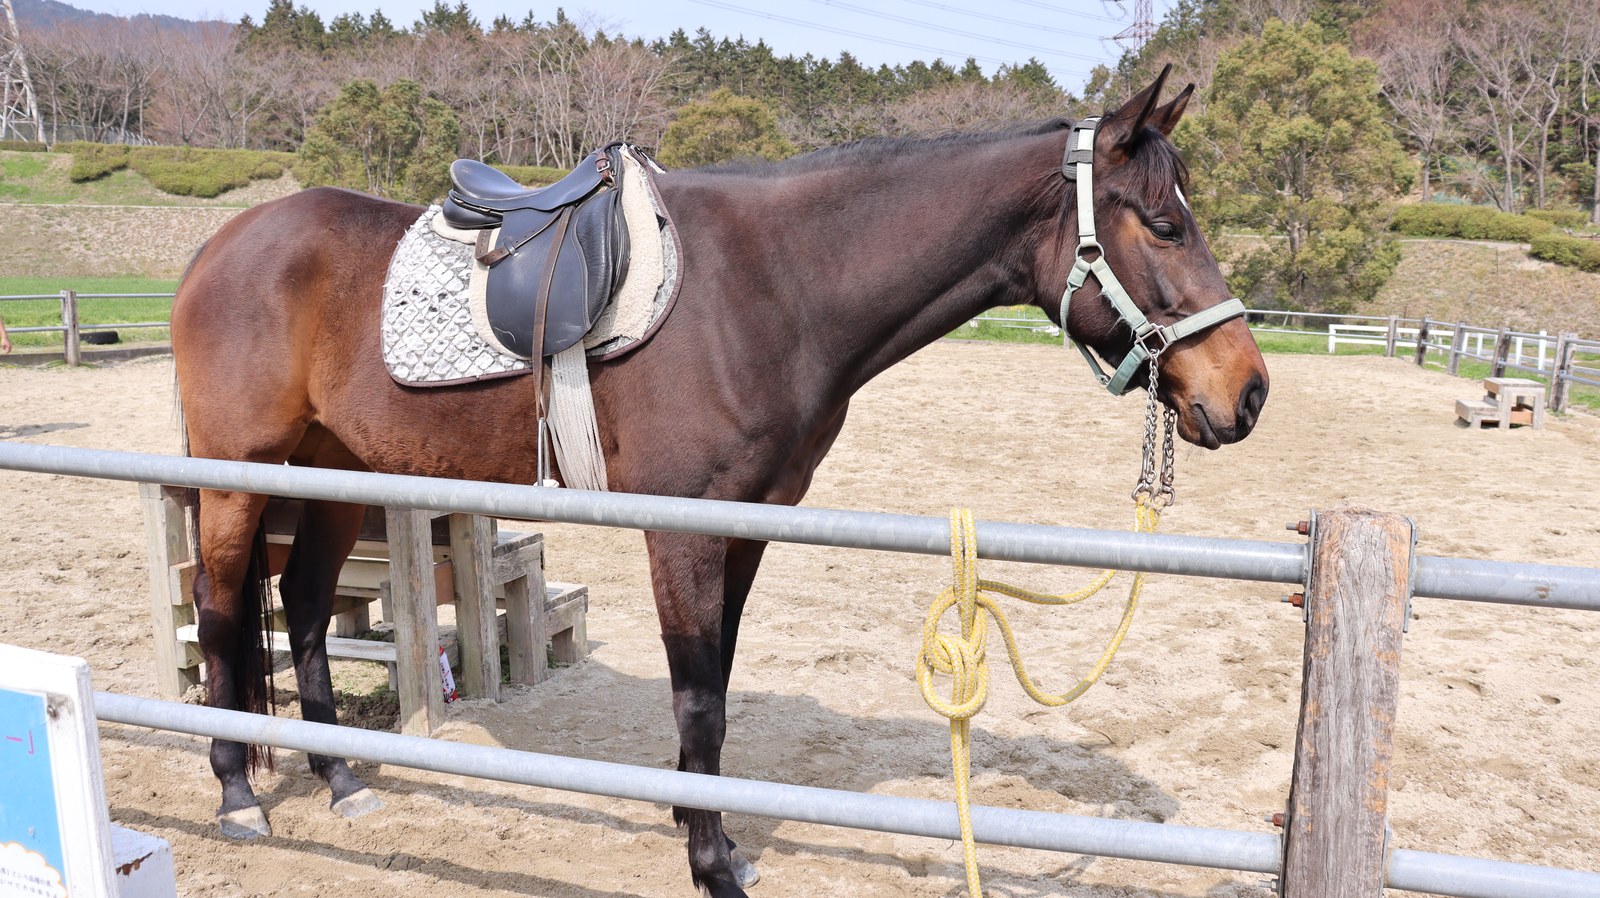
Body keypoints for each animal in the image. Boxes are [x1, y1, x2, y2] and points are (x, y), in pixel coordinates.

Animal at [169, 66, 1268, 897]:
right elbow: (697, 697)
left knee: (306, 606)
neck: (771, 287)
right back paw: (237, 794)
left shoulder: (746, 527)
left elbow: (720, 689)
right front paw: (711, 863)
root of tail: (219, 246)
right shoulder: (686, 531)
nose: (1247, 391)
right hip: (238, 478)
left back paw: (341, 780)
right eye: (1163, 224)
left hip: (337, 472)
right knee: (222, 610)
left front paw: (713, 830)